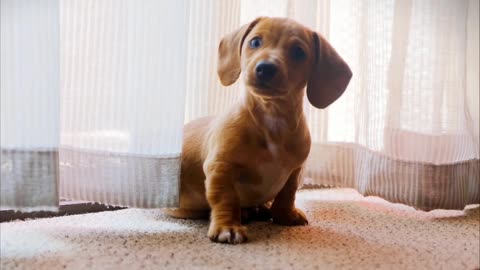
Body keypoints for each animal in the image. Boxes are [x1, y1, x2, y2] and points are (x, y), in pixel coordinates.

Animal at [166, 17, 352, 245]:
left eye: (299, 52)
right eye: (255, 42)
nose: (265, 68)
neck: (272, 119)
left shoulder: (295, 171)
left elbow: (287, 195)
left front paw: (284, 215)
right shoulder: (221, 167)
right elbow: (225, 198)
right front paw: (227, 227)